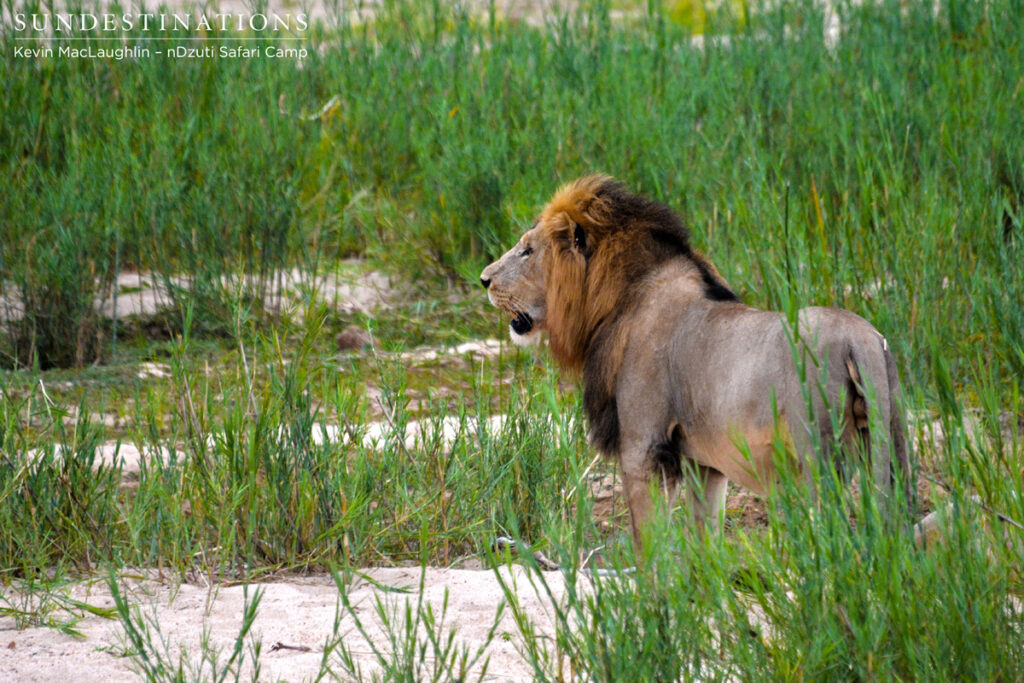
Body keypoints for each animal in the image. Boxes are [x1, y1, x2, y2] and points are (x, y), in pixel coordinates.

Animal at [481, 175, 911, 550]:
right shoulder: (704, 463)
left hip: (816, 459)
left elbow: (648, 544)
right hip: (893, 442)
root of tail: (860, 338)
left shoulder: (643, 448)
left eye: (527, 250)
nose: (484, 279)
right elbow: (705, 540)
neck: (618, 303)